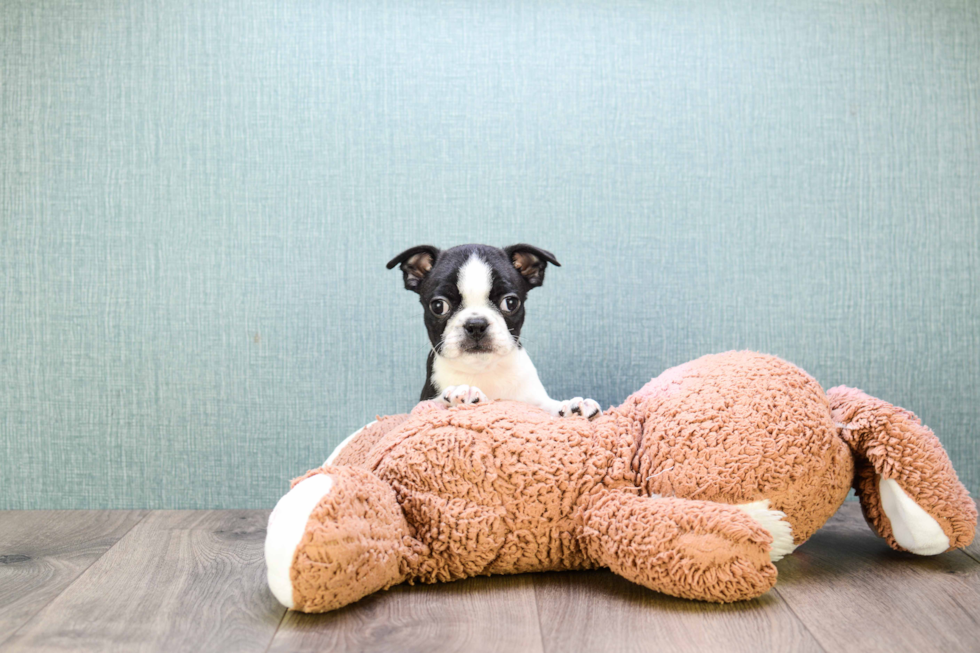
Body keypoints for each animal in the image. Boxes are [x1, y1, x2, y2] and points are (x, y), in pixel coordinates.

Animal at [386, 243, 600, 418]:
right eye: (438, 306)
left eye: (510, 302)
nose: (476, 325)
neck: (482, 369)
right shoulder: (426, 398)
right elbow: (433, 403)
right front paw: (460, 392)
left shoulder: (531, 399)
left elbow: (548, 406)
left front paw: (573, 406)